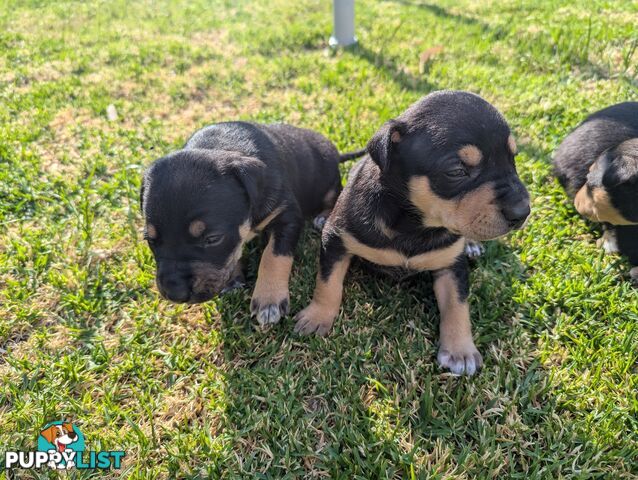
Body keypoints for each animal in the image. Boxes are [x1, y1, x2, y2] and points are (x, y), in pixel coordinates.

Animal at [142, 120, 368, 324]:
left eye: (213, 239)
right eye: (150, 240)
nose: (174, 293)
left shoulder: (287, 215)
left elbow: (273, 256)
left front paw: (269, 300)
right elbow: (235, 252)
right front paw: (234, 278)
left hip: (327, 179)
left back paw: (323, 216)